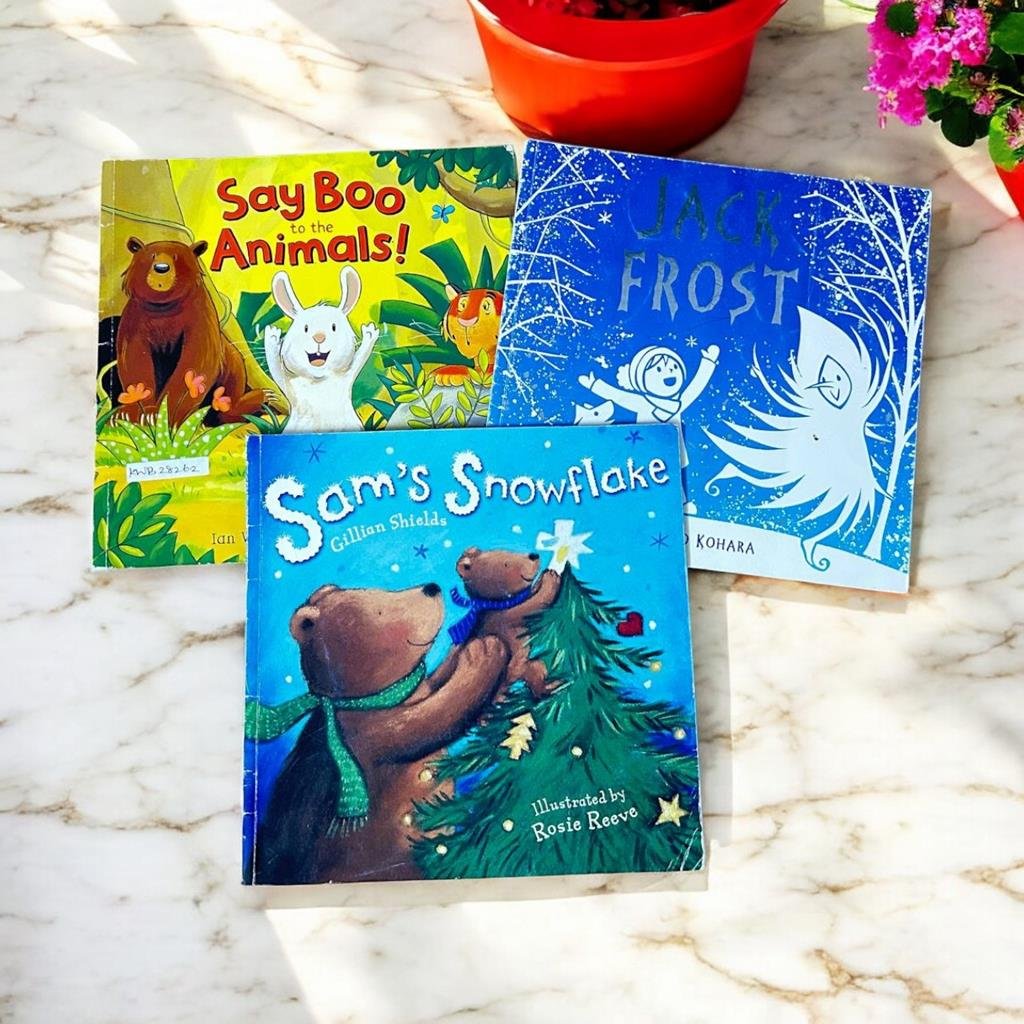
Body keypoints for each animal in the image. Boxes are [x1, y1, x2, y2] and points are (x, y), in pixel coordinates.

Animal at [115, 236, 270, 427]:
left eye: (176, 257)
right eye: (152, 256)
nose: (161, 268)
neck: (163, 308)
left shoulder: (198, 316)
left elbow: (194, 364)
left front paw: (165, 416)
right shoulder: (136, 319)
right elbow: (135, 362)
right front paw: (129, 414)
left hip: (233, 367)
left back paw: (261, 398)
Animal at [250, 581, 510, 885]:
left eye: (383, 592)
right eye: (380, 610)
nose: (432, 587)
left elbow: (437, 679)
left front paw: (464, 646)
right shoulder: (370, 735)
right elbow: (435, 718)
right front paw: (483, 653)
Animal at [264, 266, 379, 433]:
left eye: (334, 327)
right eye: (305, 328)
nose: (319, 337)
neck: (319, 378)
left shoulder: (347, 378)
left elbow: (359, 359)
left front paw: (369, 332)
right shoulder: (292, 390)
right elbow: (277, 371)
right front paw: (272, 336)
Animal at [442, 547, 562, 701]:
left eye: (510, 551)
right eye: (506, 564)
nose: (533, 555)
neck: (494, 603)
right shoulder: (506, 616)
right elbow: (535, 605)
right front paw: (551, 577)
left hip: (525, 668)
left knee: (537, 669)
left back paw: (549, 687)